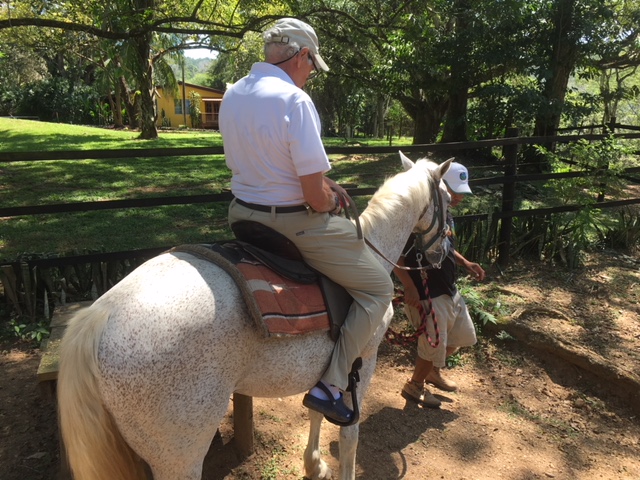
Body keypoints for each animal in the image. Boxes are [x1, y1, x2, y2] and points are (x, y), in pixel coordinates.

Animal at [57, 152, 452, 480]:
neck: (371, 248)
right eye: (448, 200)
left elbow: (316, 409)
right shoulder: (363, 360)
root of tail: (101, 316)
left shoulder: (328, 368)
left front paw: (314, 464)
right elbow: (350, 433)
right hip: (180, 455)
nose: (443, 255)